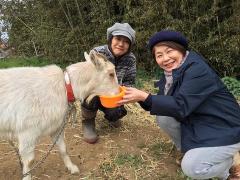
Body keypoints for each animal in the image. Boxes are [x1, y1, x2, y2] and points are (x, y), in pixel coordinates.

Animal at [0, 51, 119, 180]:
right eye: (111, 74)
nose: (119, 93)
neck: (65, 87)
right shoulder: (27, 132)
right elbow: (30, 161)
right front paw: (27, 176)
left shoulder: (56, 127)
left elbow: (63, 149)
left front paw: (72, 168)